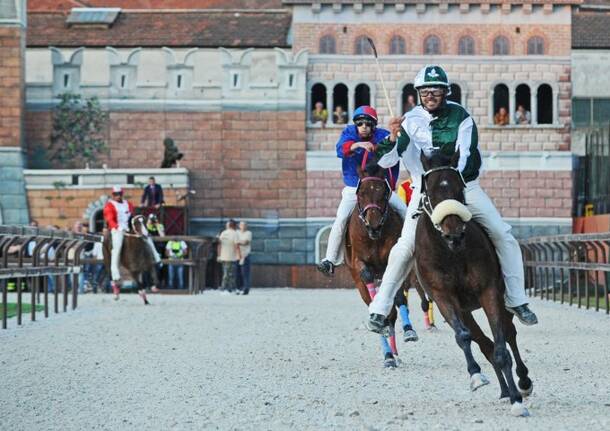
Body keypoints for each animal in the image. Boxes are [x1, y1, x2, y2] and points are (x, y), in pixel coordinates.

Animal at [344, 153, 426, 368]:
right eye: (361, 192)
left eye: (383, 192)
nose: (373, 225)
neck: (374, 238)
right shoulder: (359, 262)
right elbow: (367, 278)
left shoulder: (394, 261)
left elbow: (397, 298)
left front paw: (407, 331)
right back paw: (388, 354)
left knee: (395, 307)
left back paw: (397, 346)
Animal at [414, 150, 532, 416]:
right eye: (431, 192)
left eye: (460, 189)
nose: (454, 234)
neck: (452, 254)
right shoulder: (443, 296)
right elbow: (464, 337)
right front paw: (476, 376)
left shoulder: (489, 292)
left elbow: (501, 347)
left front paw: (517, 401)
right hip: (465, 310)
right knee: (483, 342)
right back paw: (504, 389)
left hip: (502, 299)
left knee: (509, 335)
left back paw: (523, 382)